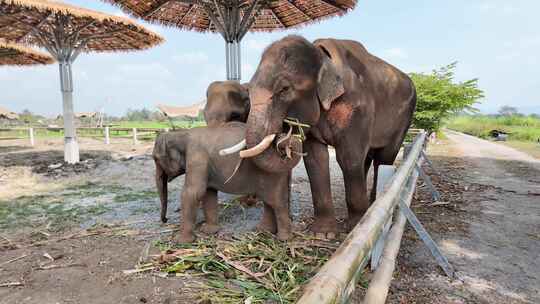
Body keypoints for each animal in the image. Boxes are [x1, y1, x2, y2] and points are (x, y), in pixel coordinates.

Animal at [153, 121, 304, 242]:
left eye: (155, 158)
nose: (165, 220)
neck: (181, 133)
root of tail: (284, 148)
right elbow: (208, 193)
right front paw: (209, 231)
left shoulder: (196, 157)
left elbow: (192, 193)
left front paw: (181, 242)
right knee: (269, 201)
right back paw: (263, 230)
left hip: (273, 174)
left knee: (277, 203)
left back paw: (283, 239)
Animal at [228, 35, 418, 234]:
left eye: (284, 89)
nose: (284, 135)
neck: (320, 54)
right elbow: (315, 160)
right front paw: (322, 233)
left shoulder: (357, 108)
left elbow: (349, 158)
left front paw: (354, 227)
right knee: (367, 159)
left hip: (404, 118)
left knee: (383, 158)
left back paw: (374, 204)